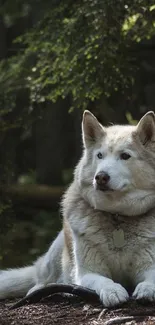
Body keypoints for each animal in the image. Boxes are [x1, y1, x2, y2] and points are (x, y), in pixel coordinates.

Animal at [0, 109, 155, 306]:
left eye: (125, 156)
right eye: (100, 156)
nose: (101, 177)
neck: (117, 216)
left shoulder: (150, 266)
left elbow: (150, 280)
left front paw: (146, 289)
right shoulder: (87, 273)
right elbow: (103, 281)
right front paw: (112, 291)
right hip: (57, 252)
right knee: (42, 280)